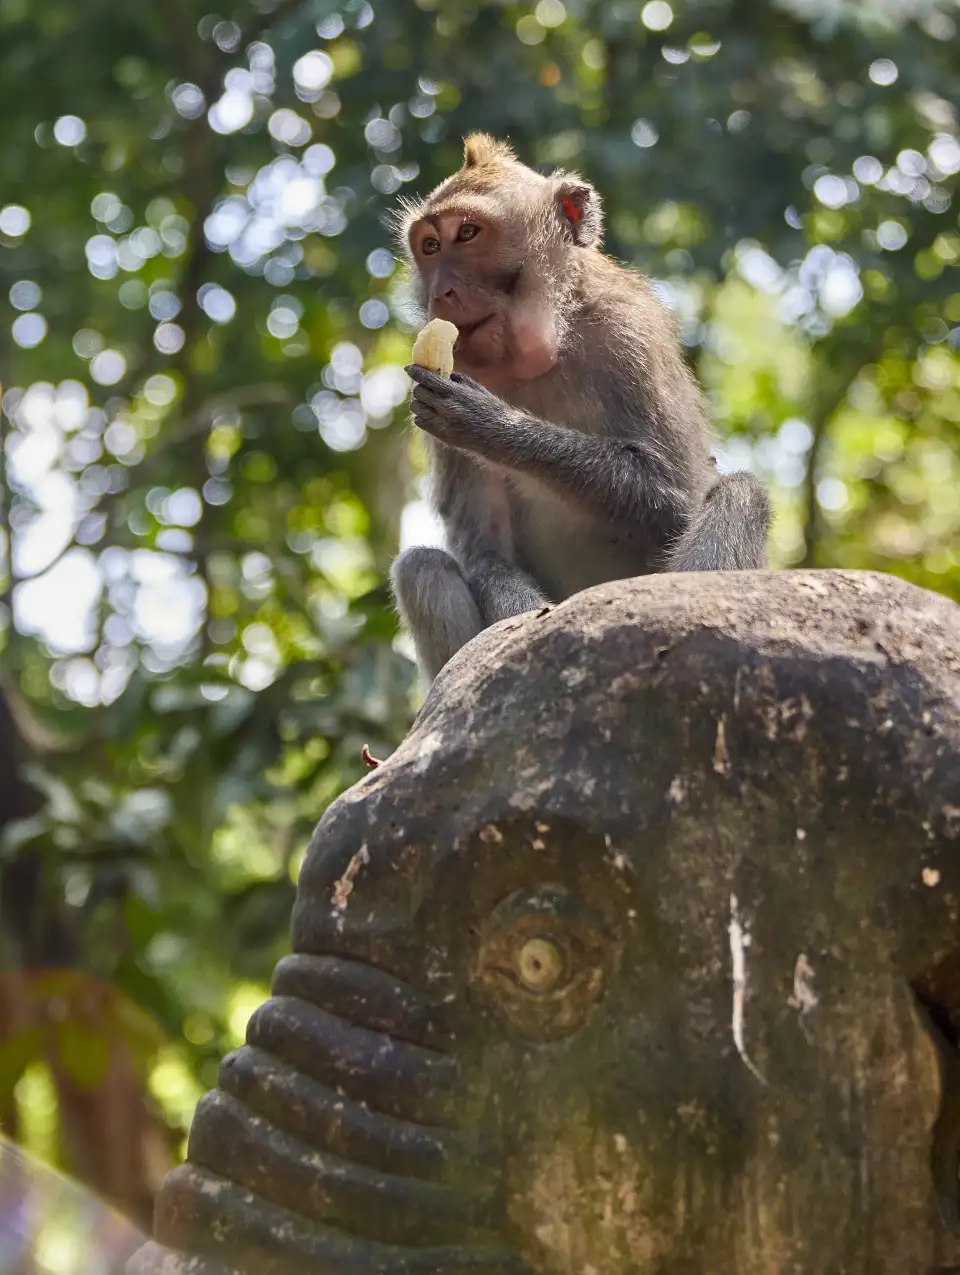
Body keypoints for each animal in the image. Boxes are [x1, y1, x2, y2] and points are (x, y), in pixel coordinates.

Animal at [389, 133, 771, 683]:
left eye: (468, 233)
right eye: (431, 247)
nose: (440, 291)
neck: (542, 349)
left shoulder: (629, 335)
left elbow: (678, 498)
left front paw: (491, 425)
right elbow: (486, 552)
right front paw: (522, 633)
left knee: (742, 493)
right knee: (421, 567)